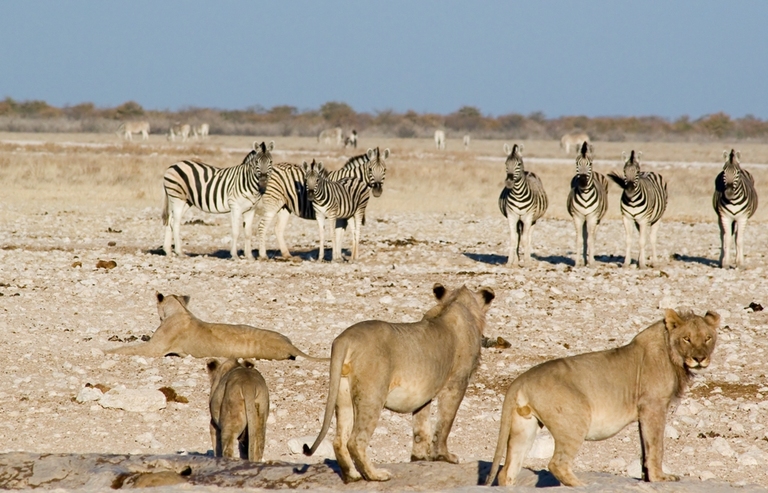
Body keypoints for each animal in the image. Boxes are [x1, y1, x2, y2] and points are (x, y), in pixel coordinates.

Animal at [256, 147, 389, 260]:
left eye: (385, 170)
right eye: (370, 169)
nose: (377, 191)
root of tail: (272, 168)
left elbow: (339, 233)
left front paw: (338, 256)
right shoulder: (339, 213)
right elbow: (338, 233)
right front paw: (337, 256)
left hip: (284, 207)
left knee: (278, 229)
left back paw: (287, 255)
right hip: (273, 203)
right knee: (262, 226)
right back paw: (263, 255)